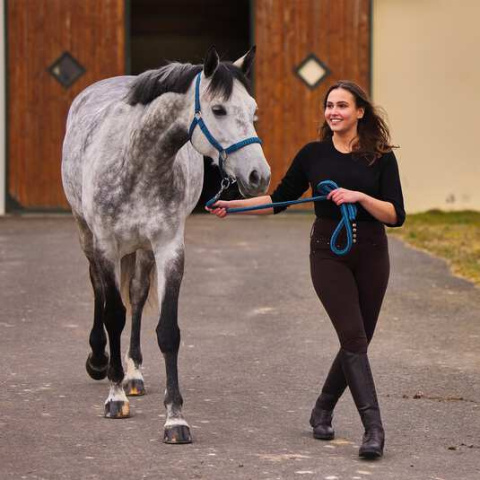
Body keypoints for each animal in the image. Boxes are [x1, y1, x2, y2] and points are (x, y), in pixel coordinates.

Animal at [61, 47, 270, 444]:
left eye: (253, 110)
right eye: (218, 109)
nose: (258, 176)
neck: (136, 161)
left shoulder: (169, 248)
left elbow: (168, 331)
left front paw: (175, 419)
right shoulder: (106, 244)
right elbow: (113, 314)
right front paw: (115, 397)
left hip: (142, 249)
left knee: (137, 294)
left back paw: (134, 374)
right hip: (86, 234)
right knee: (98, 288)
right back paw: (99, 361)